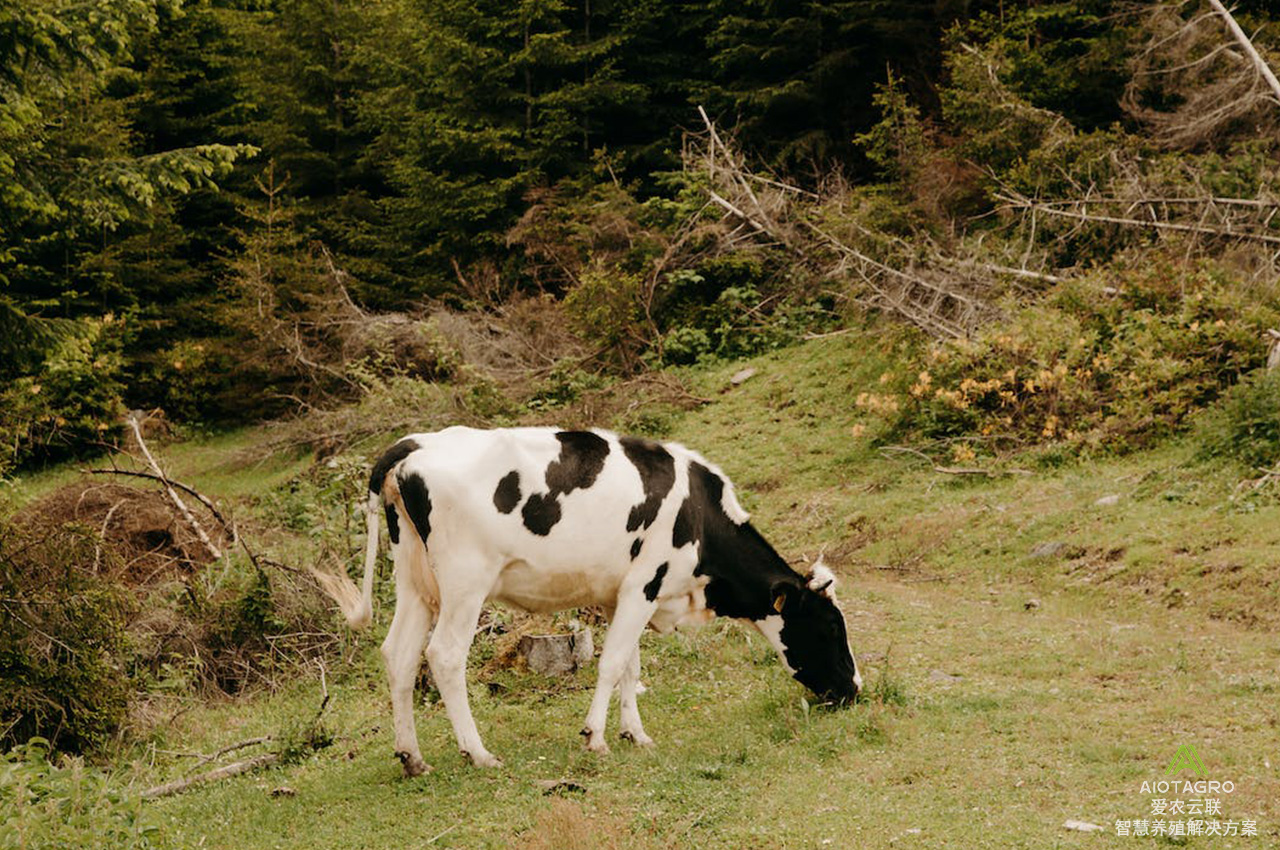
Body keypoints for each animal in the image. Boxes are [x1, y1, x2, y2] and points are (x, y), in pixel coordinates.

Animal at [314, 425, 865, 778]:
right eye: (831, 628)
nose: (854, 689)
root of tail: (414, 444)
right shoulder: (645, 582)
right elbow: (613, 663)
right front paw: (595, 737)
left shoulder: (623, 592)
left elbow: (630, 665)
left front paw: (634, 734)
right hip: (464, 582)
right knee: (444, 657)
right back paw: (478, 753)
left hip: (415, 580)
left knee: (400, 655)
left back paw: (412, 757)